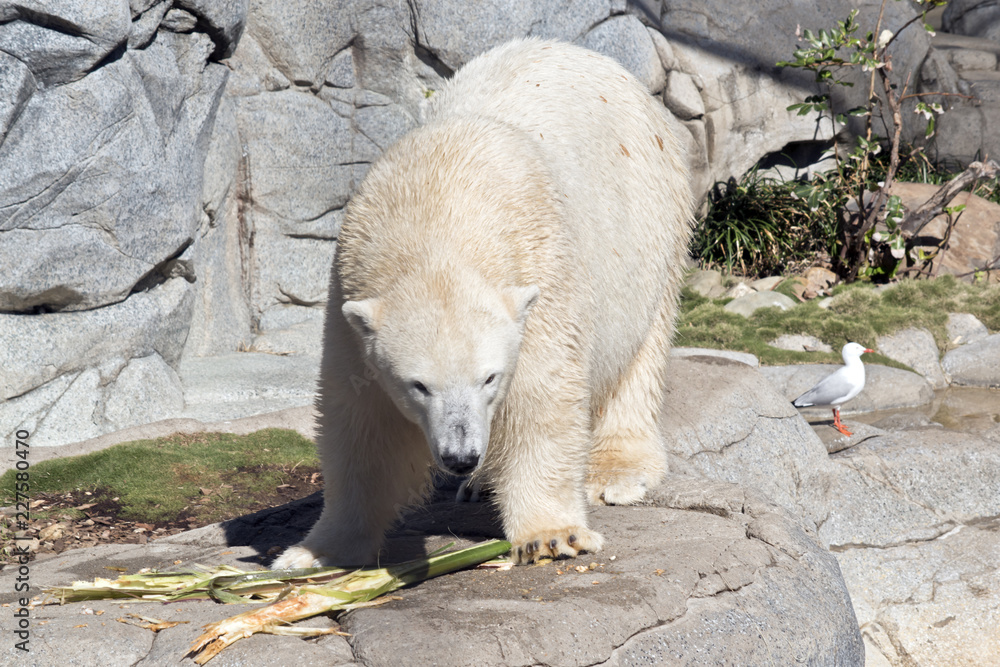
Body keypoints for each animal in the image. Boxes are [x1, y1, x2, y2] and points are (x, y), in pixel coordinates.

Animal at [271, 38, 693, 568]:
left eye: (489, 377)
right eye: (418, 385)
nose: (460, 456)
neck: (437, 203)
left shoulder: (540, 274)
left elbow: (540, 396)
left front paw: (552, 536)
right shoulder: (351, 292)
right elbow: (362, 422)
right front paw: (315, 552)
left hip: (650, 219)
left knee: (639, 352)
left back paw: (614, 472)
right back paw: (479, 482)